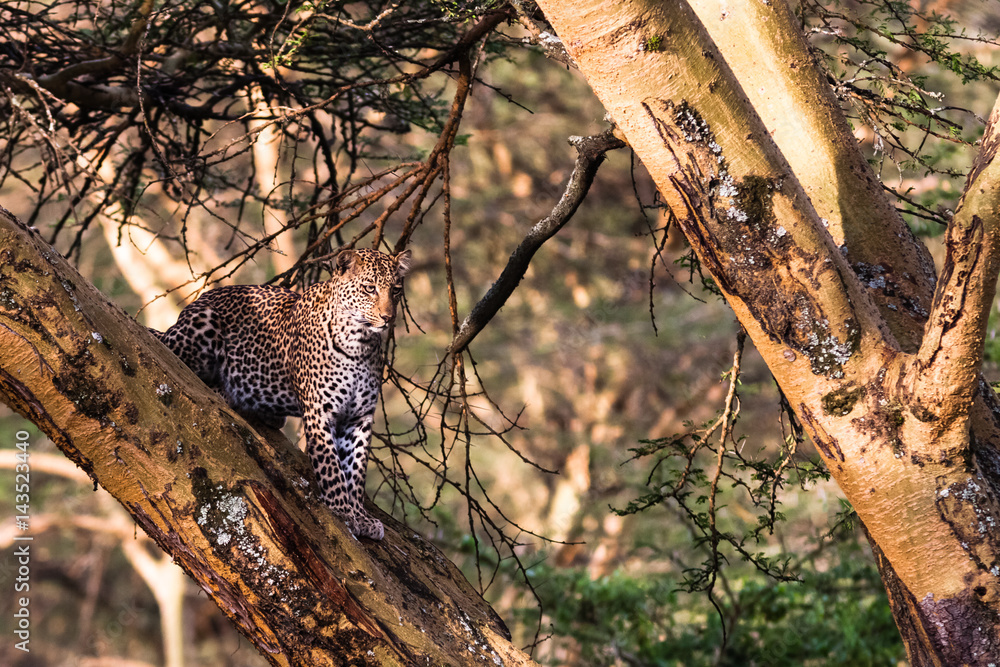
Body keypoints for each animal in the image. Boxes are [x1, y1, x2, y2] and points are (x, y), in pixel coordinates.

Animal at [149, 248, 414, 540]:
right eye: (369, 289)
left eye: (396, 290)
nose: (388, 318)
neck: (360, 343)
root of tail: (197, 301)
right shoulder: (319, 411)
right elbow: (332, 468)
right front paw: (343, 512)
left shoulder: (359, 418)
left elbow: (355, 470)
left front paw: (360, 515)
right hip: (203, 325)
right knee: (166, 347)